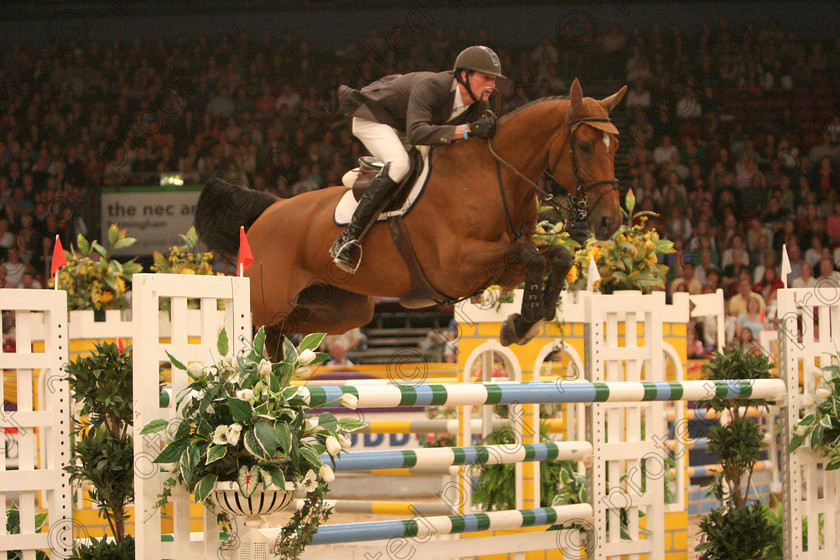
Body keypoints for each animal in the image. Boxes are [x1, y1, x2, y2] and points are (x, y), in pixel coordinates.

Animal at [197, 80, 628, 354]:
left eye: (616, 145)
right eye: (585, 146)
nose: (610, 221)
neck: (494, 174)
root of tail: (266, 213)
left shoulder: (501, 267)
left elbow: (556, 255)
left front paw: (529, 320)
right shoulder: (458, 266)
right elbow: (534, 256)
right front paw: (523, 323)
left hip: (345, 309)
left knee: (277, 332)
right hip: (263, 298)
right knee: (244, 327)